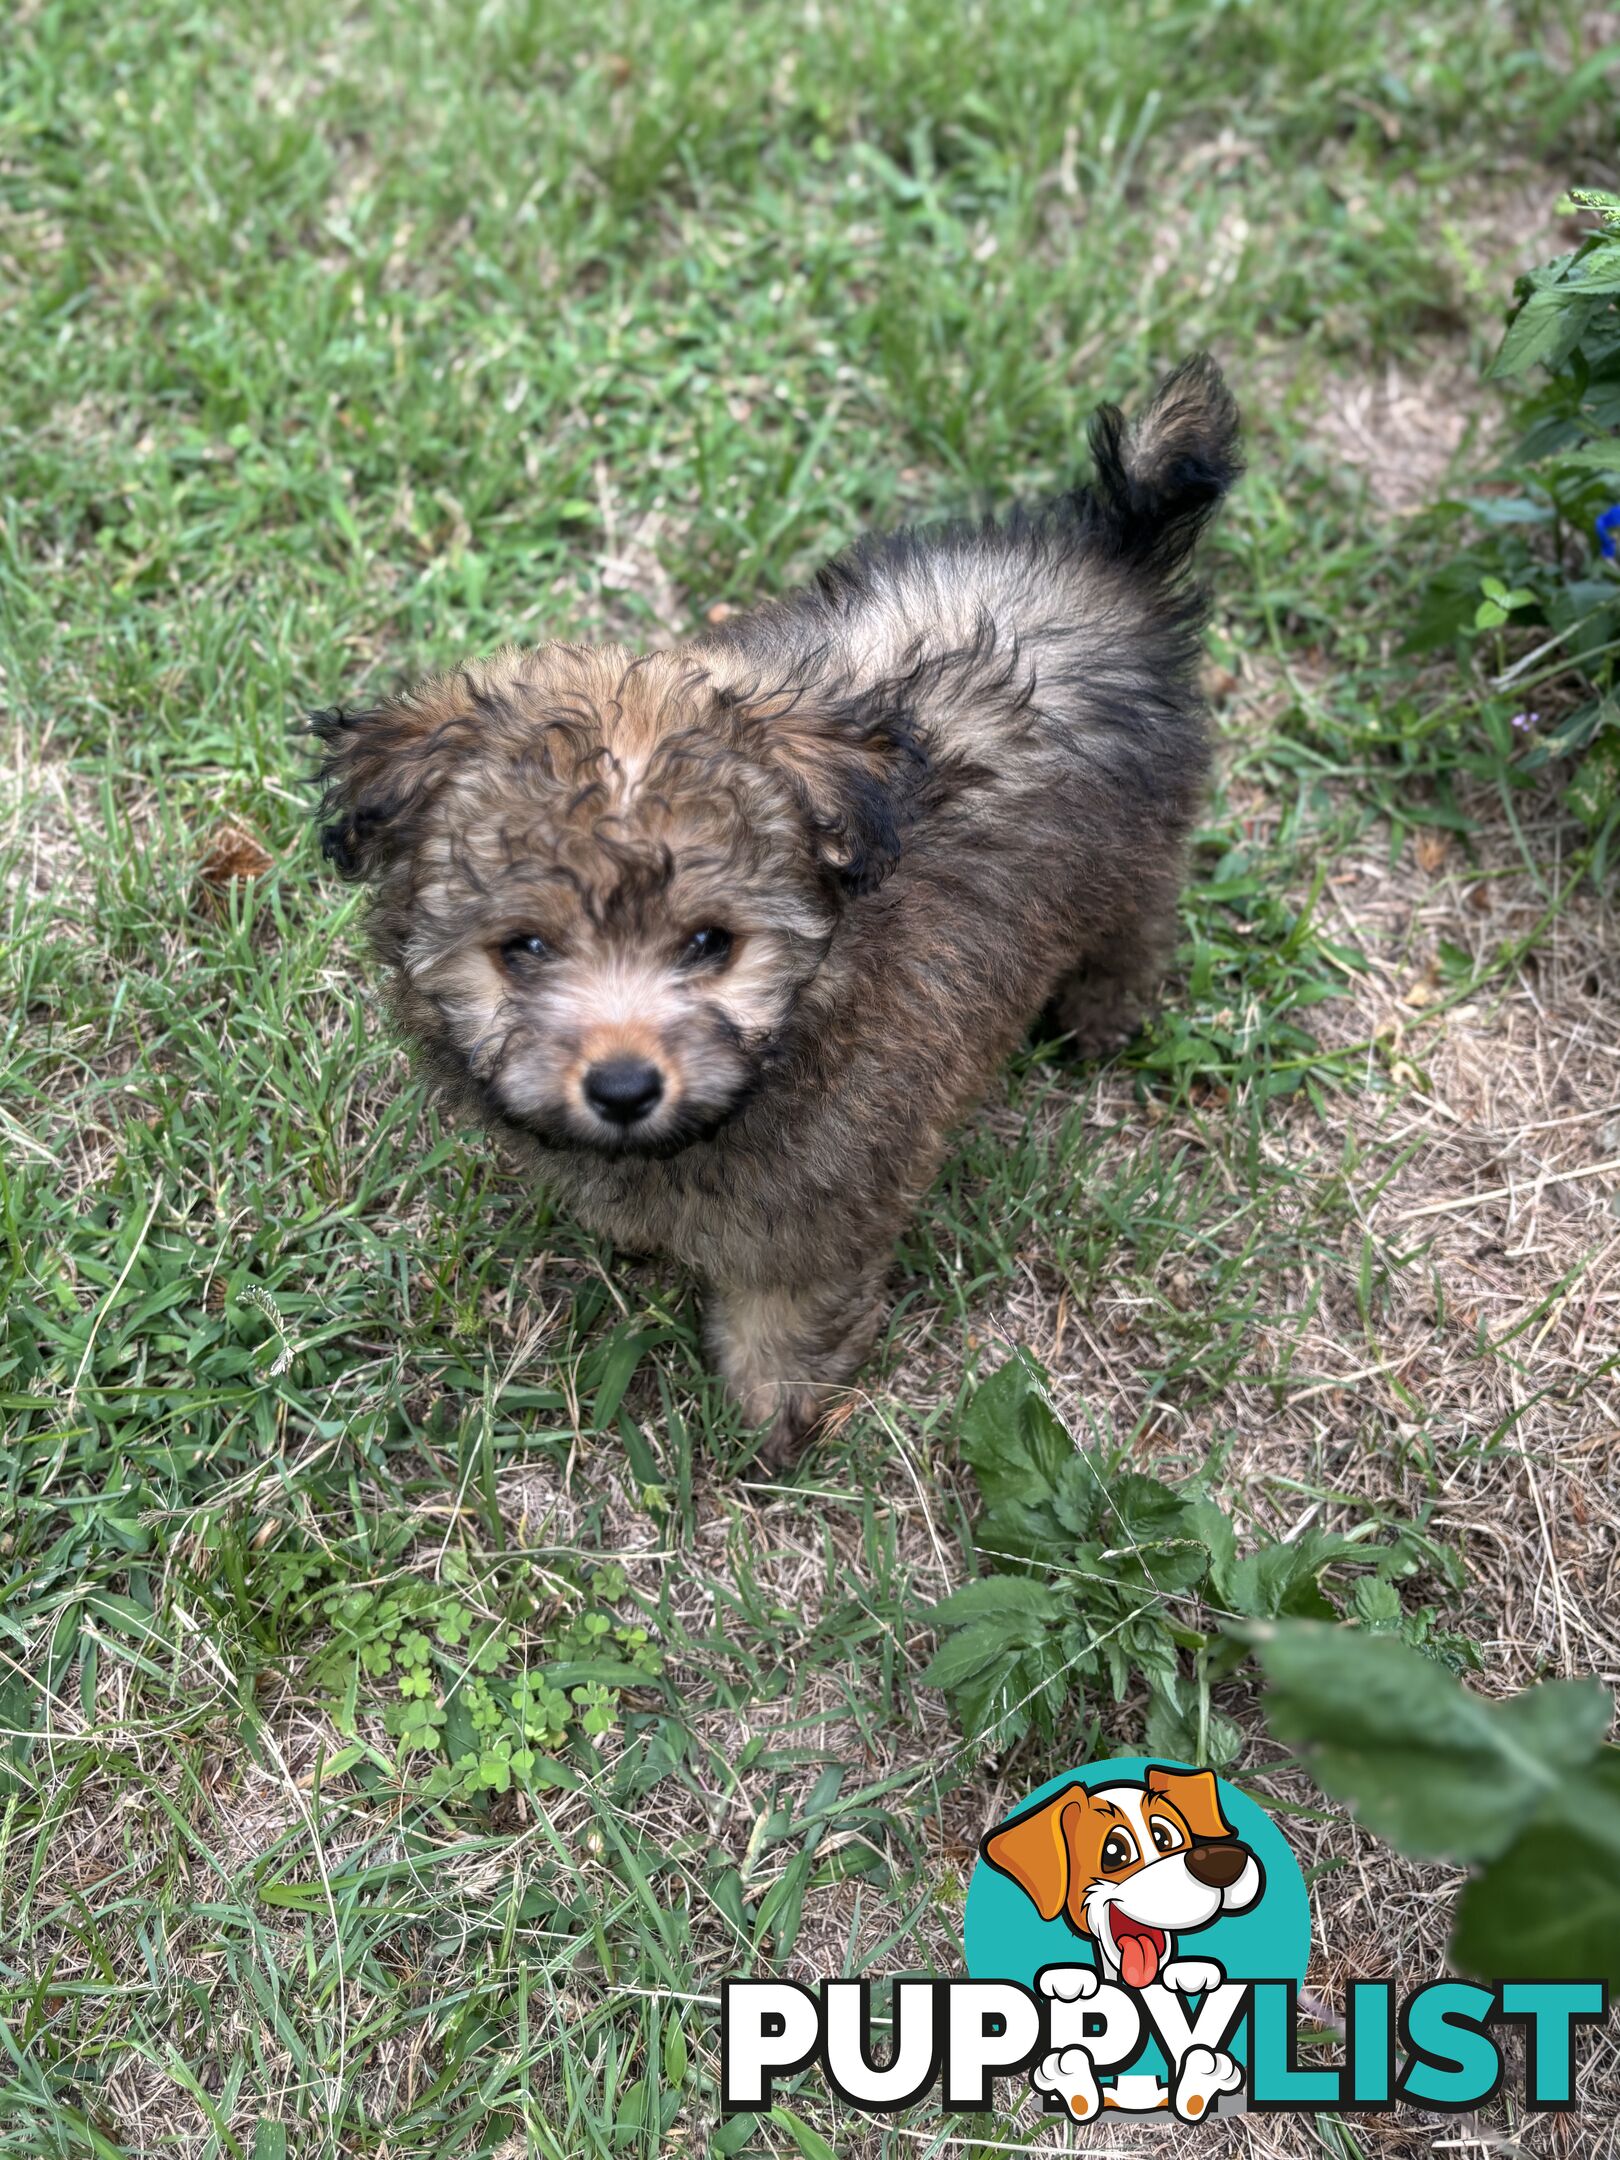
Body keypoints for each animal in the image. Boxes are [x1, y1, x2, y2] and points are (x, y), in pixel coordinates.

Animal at [319, 354, 1244, 1468]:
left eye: (710, 943)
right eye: (523, 947)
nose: (623, 1088)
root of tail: (1114, 547)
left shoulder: (826, 1197)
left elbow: (789, 1306)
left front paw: (777, 1414)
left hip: (1135, 850)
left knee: (1134, 926)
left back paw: (1100, 1019)